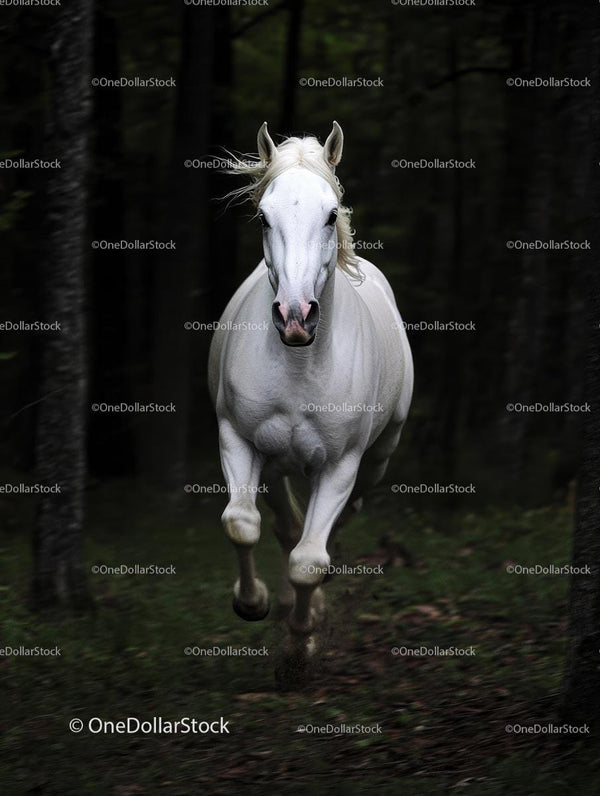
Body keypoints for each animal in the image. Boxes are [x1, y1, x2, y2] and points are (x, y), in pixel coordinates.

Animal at [208, 121, 413, 675]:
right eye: (263, 216)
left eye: (330, 214)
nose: (295, 316)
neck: (301, 365)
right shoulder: (239, 442)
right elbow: (242, 525)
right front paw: (253, 602)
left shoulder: (341, 467)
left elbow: (309, 561)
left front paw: (301, 646)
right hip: (275, 464)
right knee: (285, 526)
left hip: (374, 463)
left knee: (330, 530)